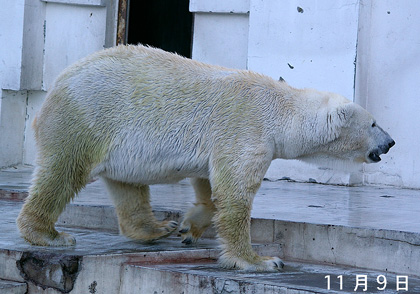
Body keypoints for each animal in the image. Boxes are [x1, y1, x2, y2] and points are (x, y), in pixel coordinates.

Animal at [17, 44, 394, 272]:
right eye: (374, 122)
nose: (391, 142)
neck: (280, 109)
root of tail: (54, 88)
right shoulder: (247, 128)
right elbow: (235, 193)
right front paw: (260, 260)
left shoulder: (223, 141)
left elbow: (209, 183)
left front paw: (189, 226)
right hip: (85, 119)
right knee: (62, 172)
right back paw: (48, 234)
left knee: (127, 185)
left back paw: (156, 228)